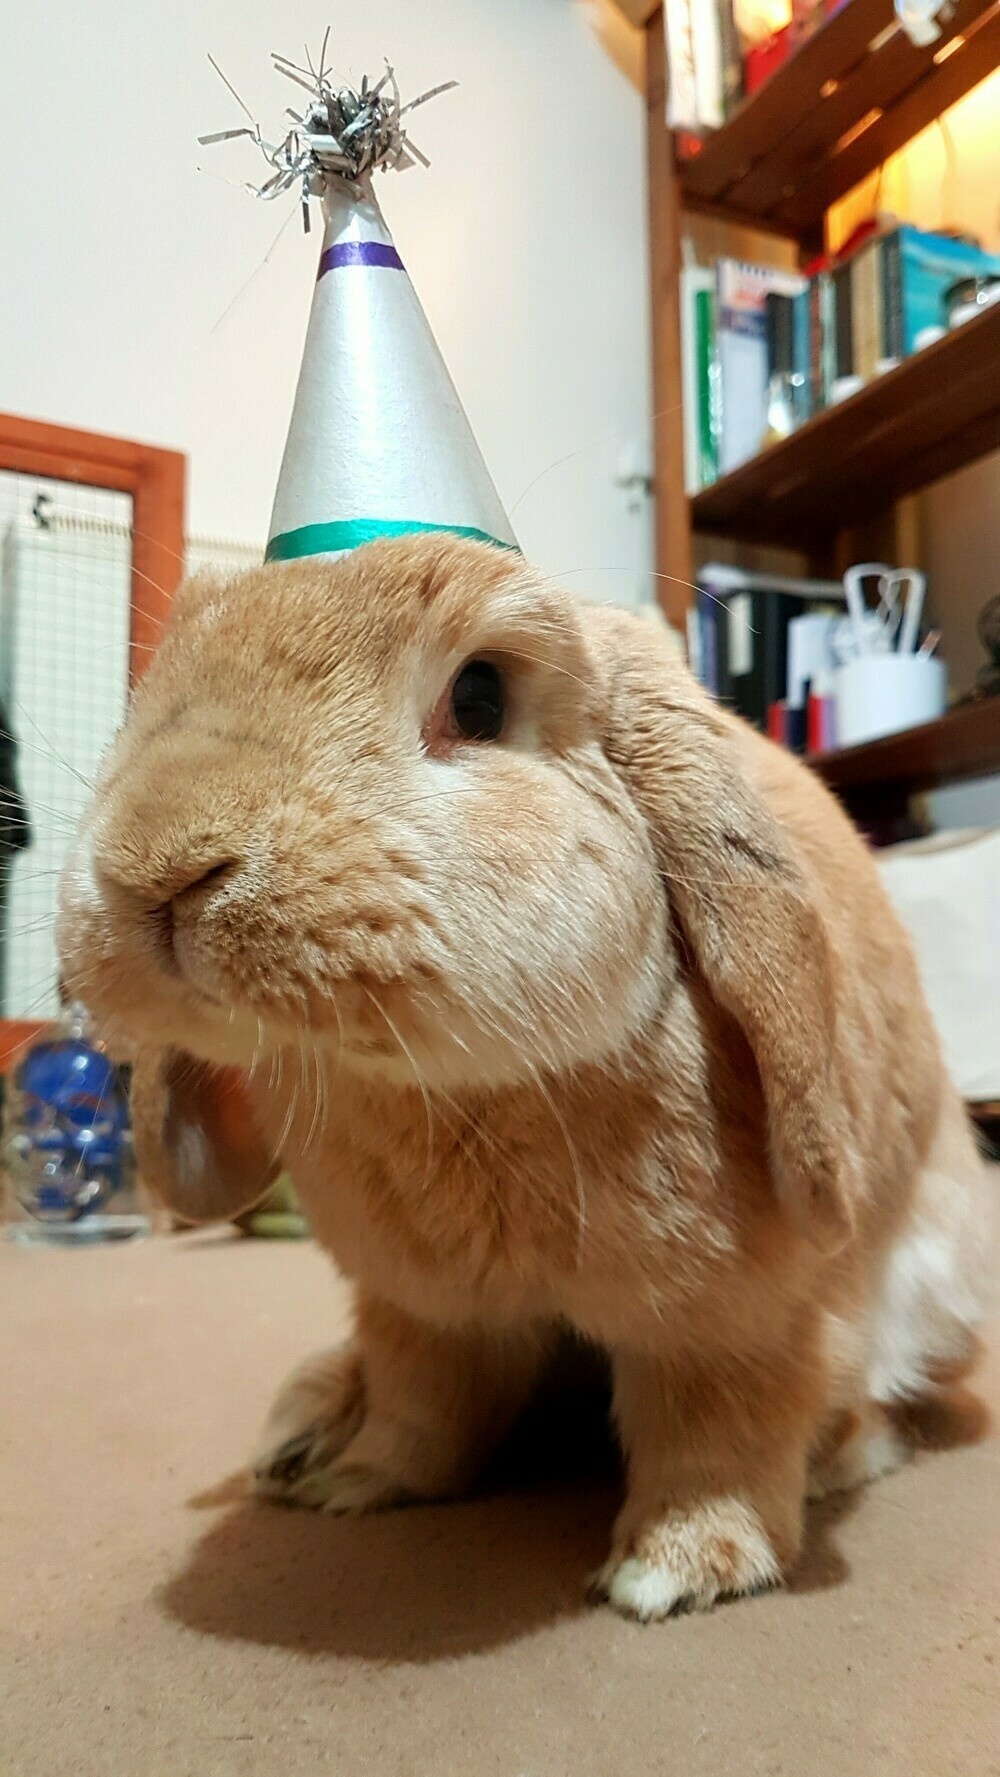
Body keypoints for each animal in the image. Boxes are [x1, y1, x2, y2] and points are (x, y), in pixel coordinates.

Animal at [56, 533, 994, 1620]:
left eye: (479, 698)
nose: (157, 866)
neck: (444, 1093)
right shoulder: (421, 1308)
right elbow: (425, 1401)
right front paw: (361, 1482)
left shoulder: (734, 1318)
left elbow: (721, 1426)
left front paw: (681, 1567)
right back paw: (307, 1437)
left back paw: (839, 1454)